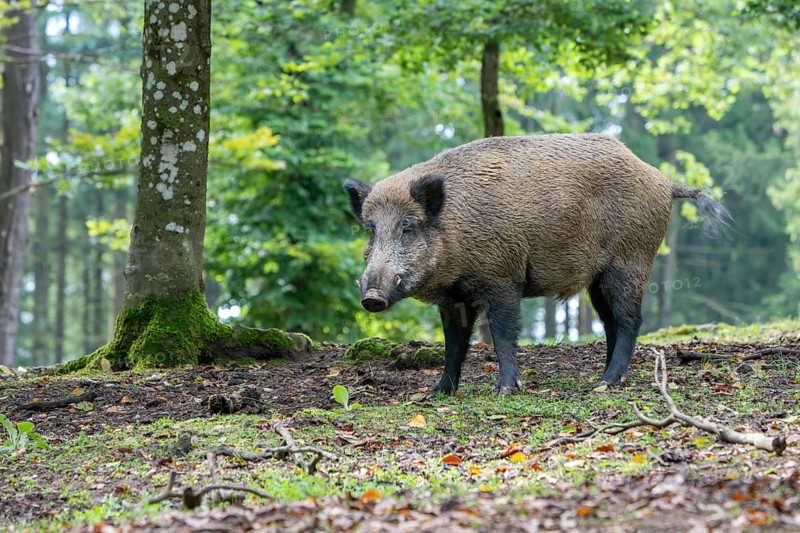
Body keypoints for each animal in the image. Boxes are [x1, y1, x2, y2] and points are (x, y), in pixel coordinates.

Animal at [343, 134, 729, 395]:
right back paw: (602, 378)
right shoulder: (454, 299)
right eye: (370, 229)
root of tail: (663, 181)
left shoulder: (503, 279)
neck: (456, 228)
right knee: (610, 322)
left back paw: (605, 382)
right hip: (598, 277)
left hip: (630, 260)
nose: (371, 297)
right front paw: (437, 394)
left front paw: (503, 391)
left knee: (629, 320)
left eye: (408, 227)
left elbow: (503, 336)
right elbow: (454, 344)